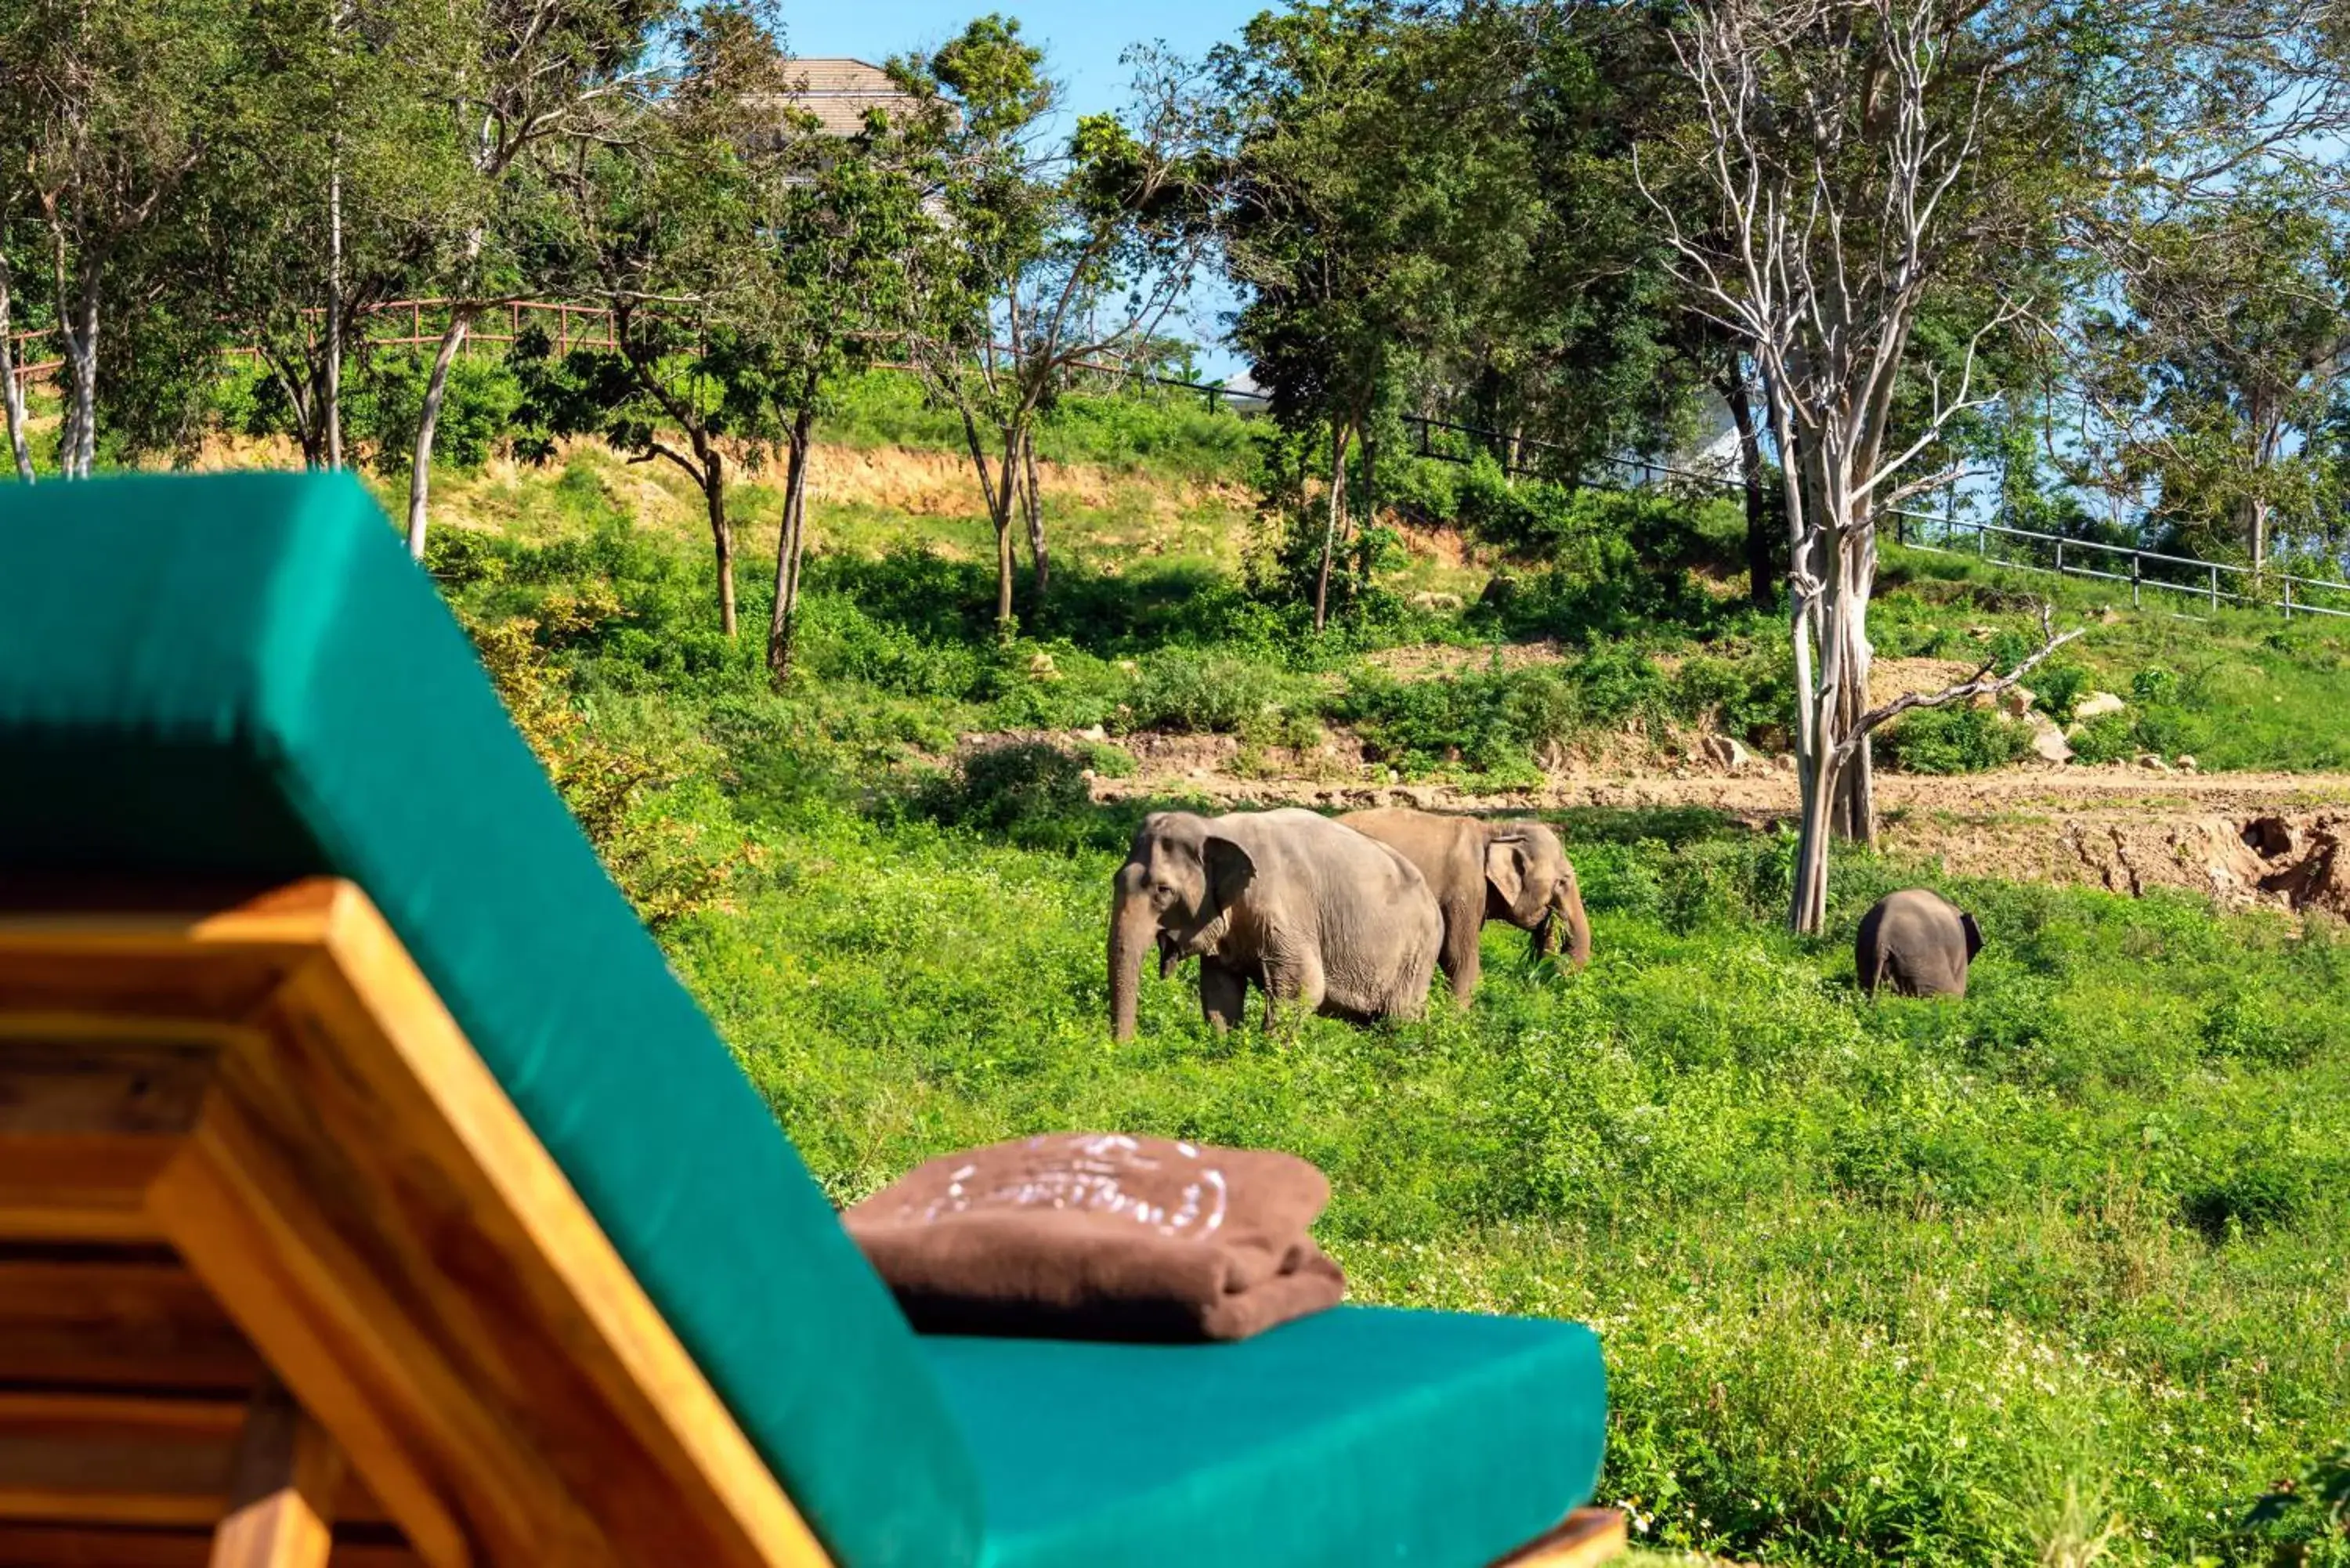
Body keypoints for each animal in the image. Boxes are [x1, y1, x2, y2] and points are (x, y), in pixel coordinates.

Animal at [1108, 808, 1443, 1041]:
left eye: (1163, 890)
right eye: (1116, 879)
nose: (1126, 1048)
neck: (1216, 826)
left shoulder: (1286, 908)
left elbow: (1303, 987)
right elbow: (1220, 991)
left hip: (1417, 954)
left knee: (1399, 1016)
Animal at [1339, 807, 1591, 1003]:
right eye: (1563, 881)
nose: (1555, 920)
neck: (1496, 830)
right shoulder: (1464, 889)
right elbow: (1457, 955)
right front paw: (1458, 1017)